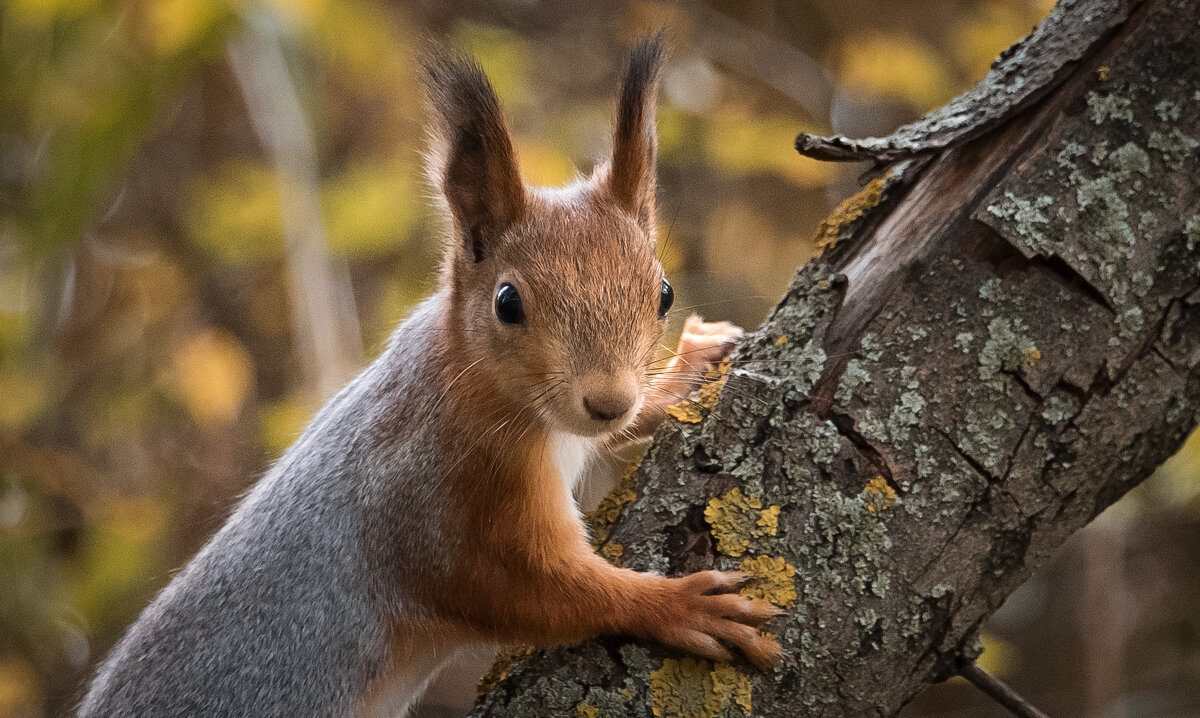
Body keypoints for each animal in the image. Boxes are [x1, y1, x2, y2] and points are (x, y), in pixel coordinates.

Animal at [79, 35, 782, 718]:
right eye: (507, 302)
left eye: (663, 293)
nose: (607, 400)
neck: (481, 386)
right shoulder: (445, 501)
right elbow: (526, 591)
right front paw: (680, 606)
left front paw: (687, 370)